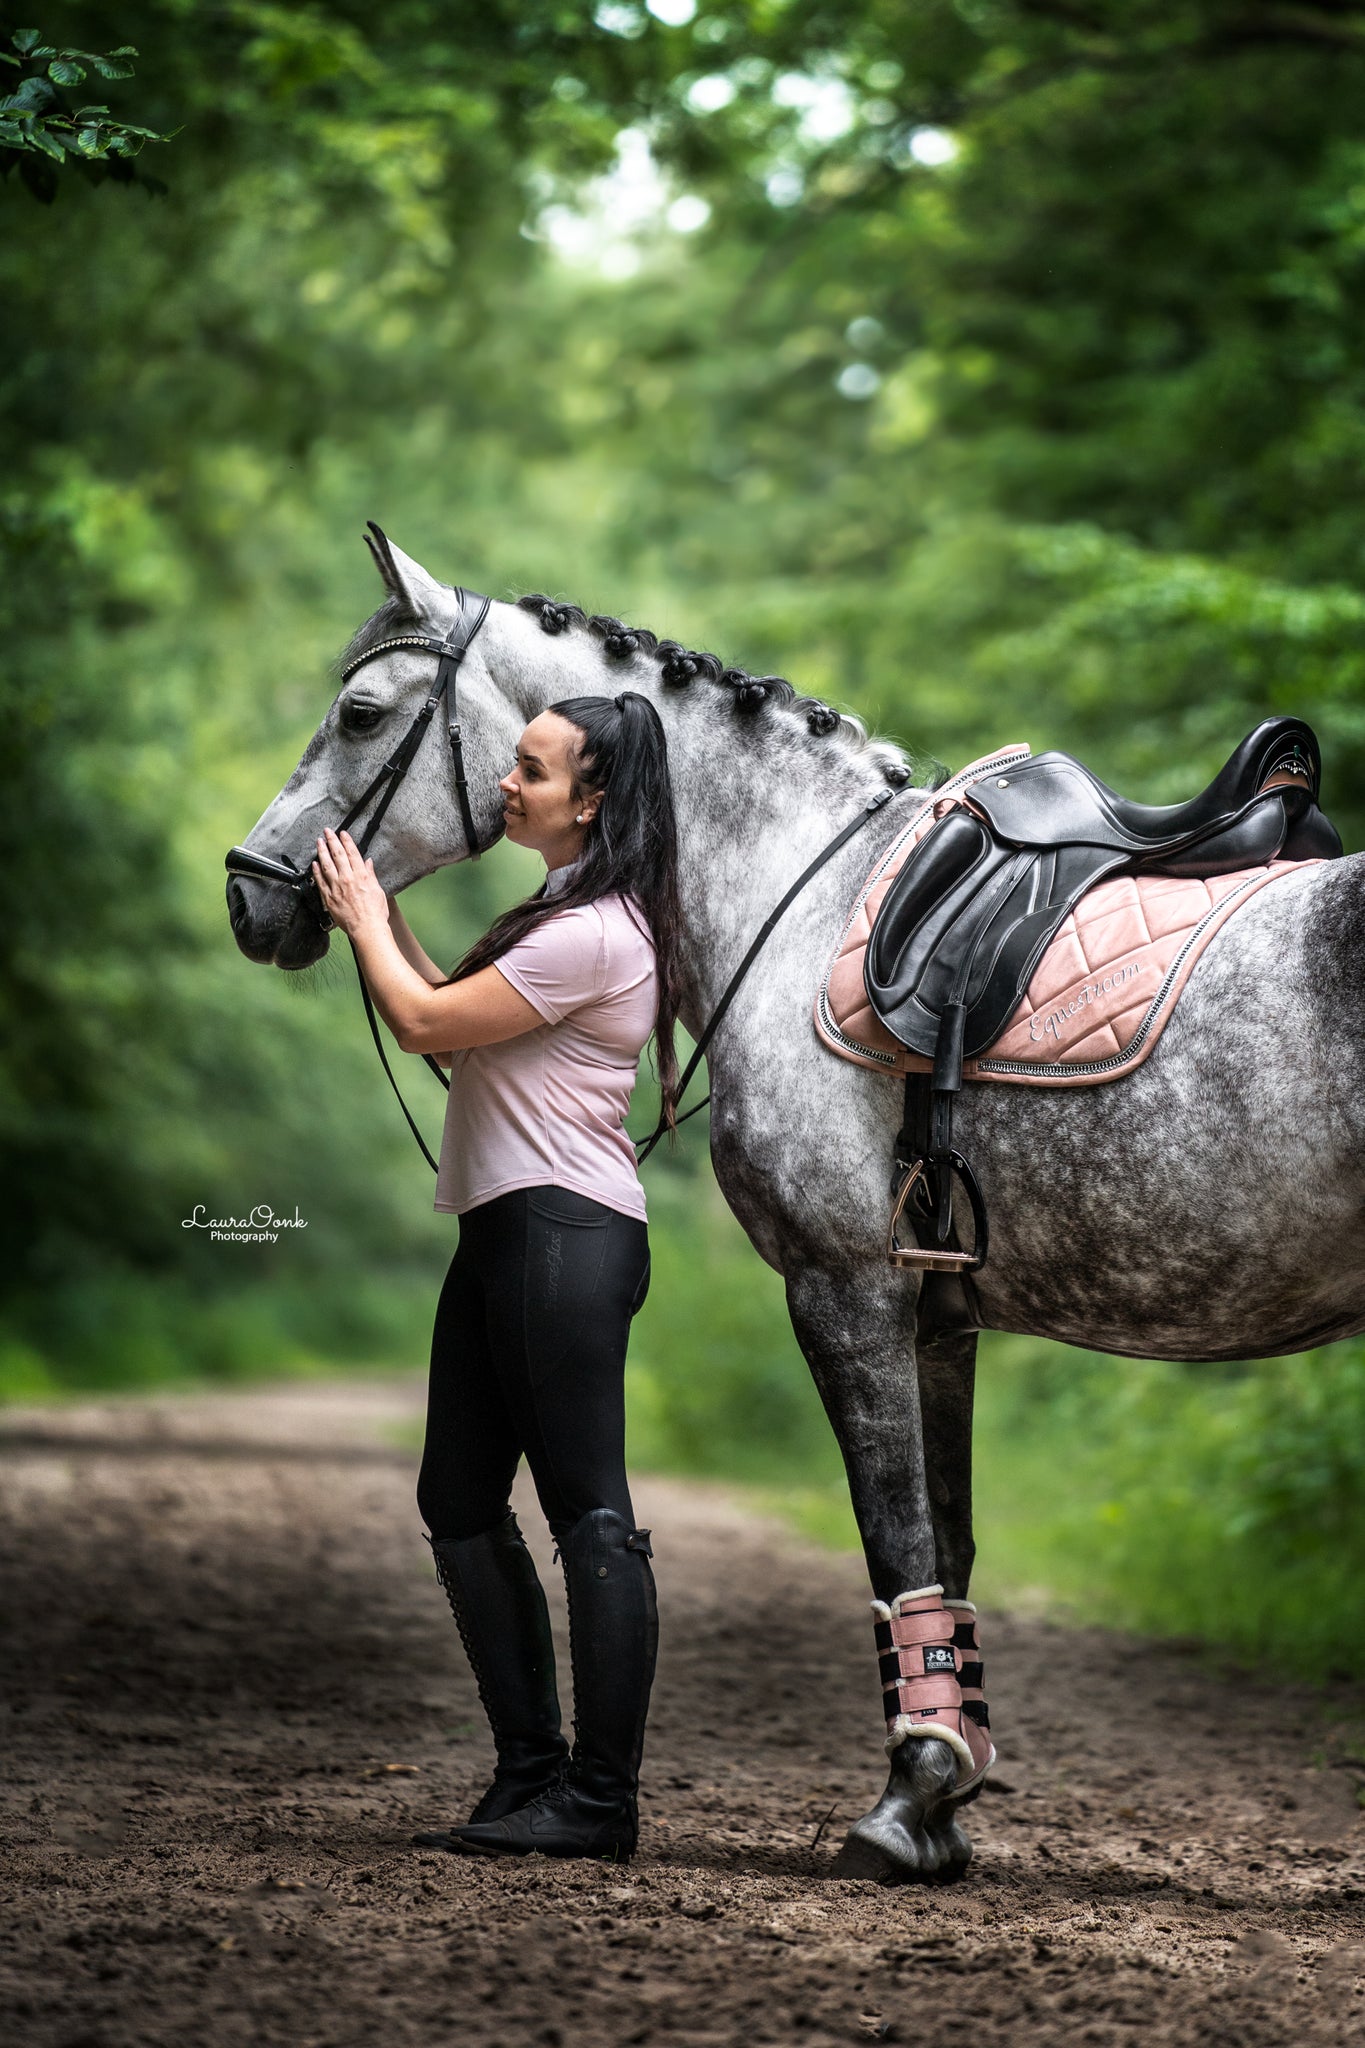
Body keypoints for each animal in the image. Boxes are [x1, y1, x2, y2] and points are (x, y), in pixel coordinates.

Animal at [224, 536, 1365, 1875]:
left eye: (358, 713)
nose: (250, 893)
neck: (804, 898)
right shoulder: (939, 1316)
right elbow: (947, 1542)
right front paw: (949, 1792)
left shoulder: (846, 1289)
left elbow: (898, 1539)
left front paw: (910, 1799)